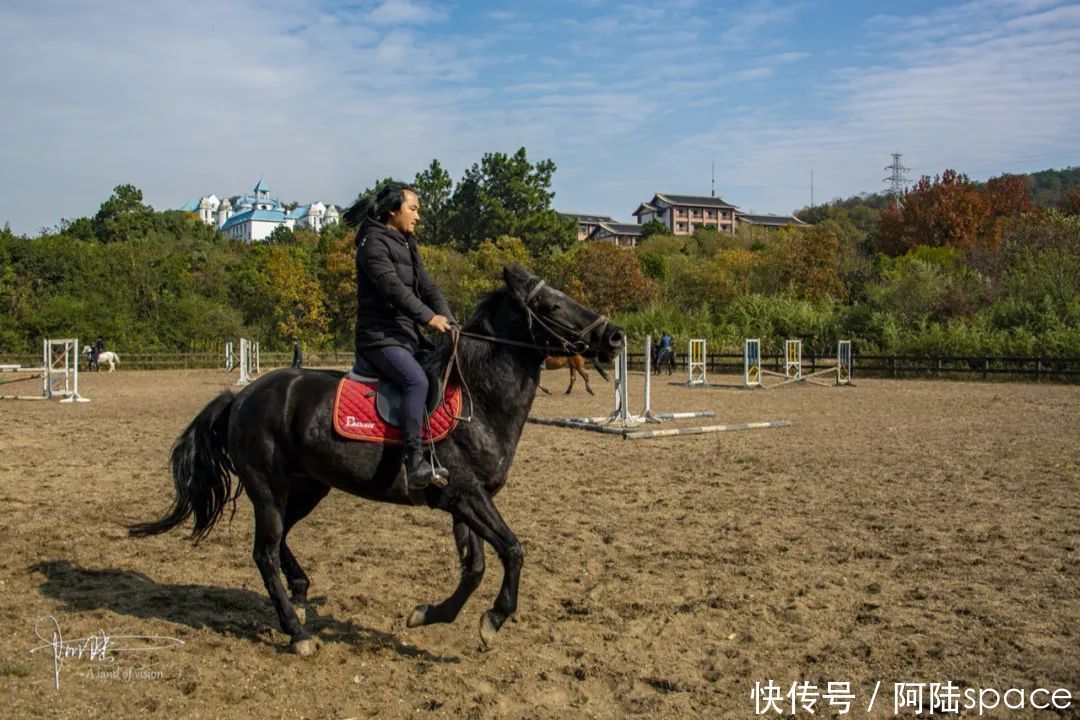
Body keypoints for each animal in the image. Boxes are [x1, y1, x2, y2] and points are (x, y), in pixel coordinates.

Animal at [129, 266, 624, 655]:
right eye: (551, 305)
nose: (615, 336)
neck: (477, 400)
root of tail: (243, 396)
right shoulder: (466, 495)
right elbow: (513, 551)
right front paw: (493, 620)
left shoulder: (465, 501)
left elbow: (475, 568)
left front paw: (428, 614)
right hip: (268, 488)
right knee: (264, 552)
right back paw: (297, 632)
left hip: (306, 488)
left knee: (280, 541)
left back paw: (301, 594)